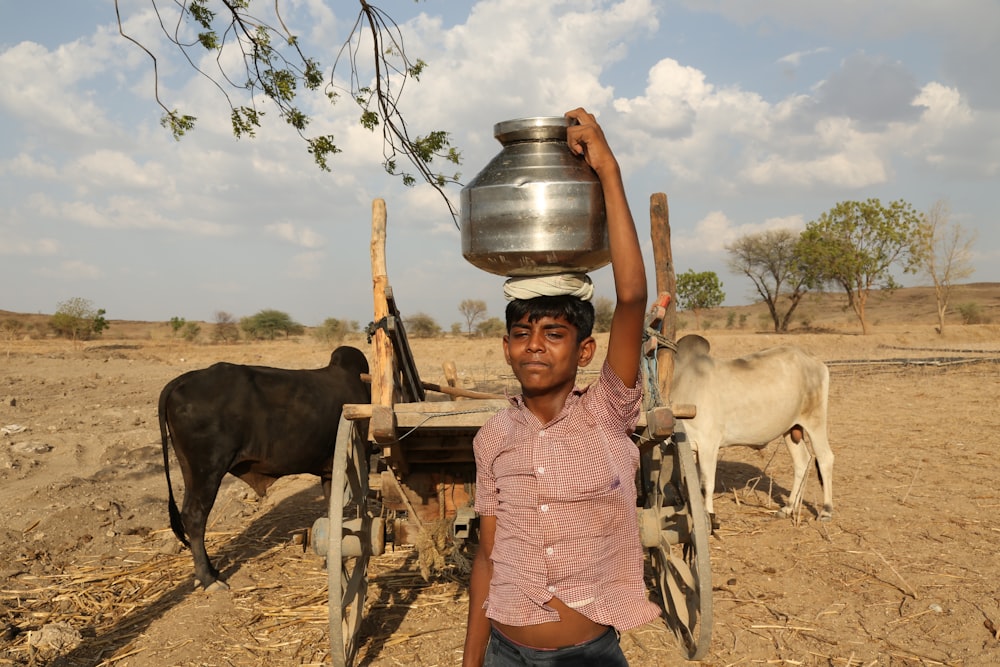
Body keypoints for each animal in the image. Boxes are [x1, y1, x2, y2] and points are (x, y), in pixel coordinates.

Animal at [158, 348, 370, 592]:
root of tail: (184, 380)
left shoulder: (329, 471)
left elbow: (331, 509)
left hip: (189, 470)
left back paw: (211, 571)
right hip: (208, 469)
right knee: (195, 517)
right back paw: (209, 579)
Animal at [672, 334, 836, 528]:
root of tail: (814, 360)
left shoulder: (708, 444)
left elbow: (706, 484)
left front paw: (710, 518)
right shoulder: (691, 446)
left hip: (815, 421)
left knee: (825, 458)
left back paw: (826, 510)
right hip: (790, 428)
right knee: (802, 461)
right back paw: (788, 508)